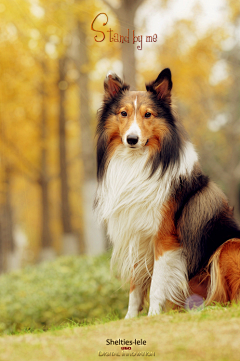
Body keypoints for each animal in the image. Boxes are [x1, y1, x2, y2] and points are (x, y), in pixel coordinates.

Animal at [94, 69, 240, 316]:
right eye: (123, 113)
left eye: (148, 114)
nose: (131, 139)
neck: (137, 162)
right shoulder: (137, 233)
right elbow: (135, 285)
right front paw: (130, 318)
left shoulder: (165, 237)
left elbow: (157, 284)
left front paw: (153, 314)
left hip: (228, 246)